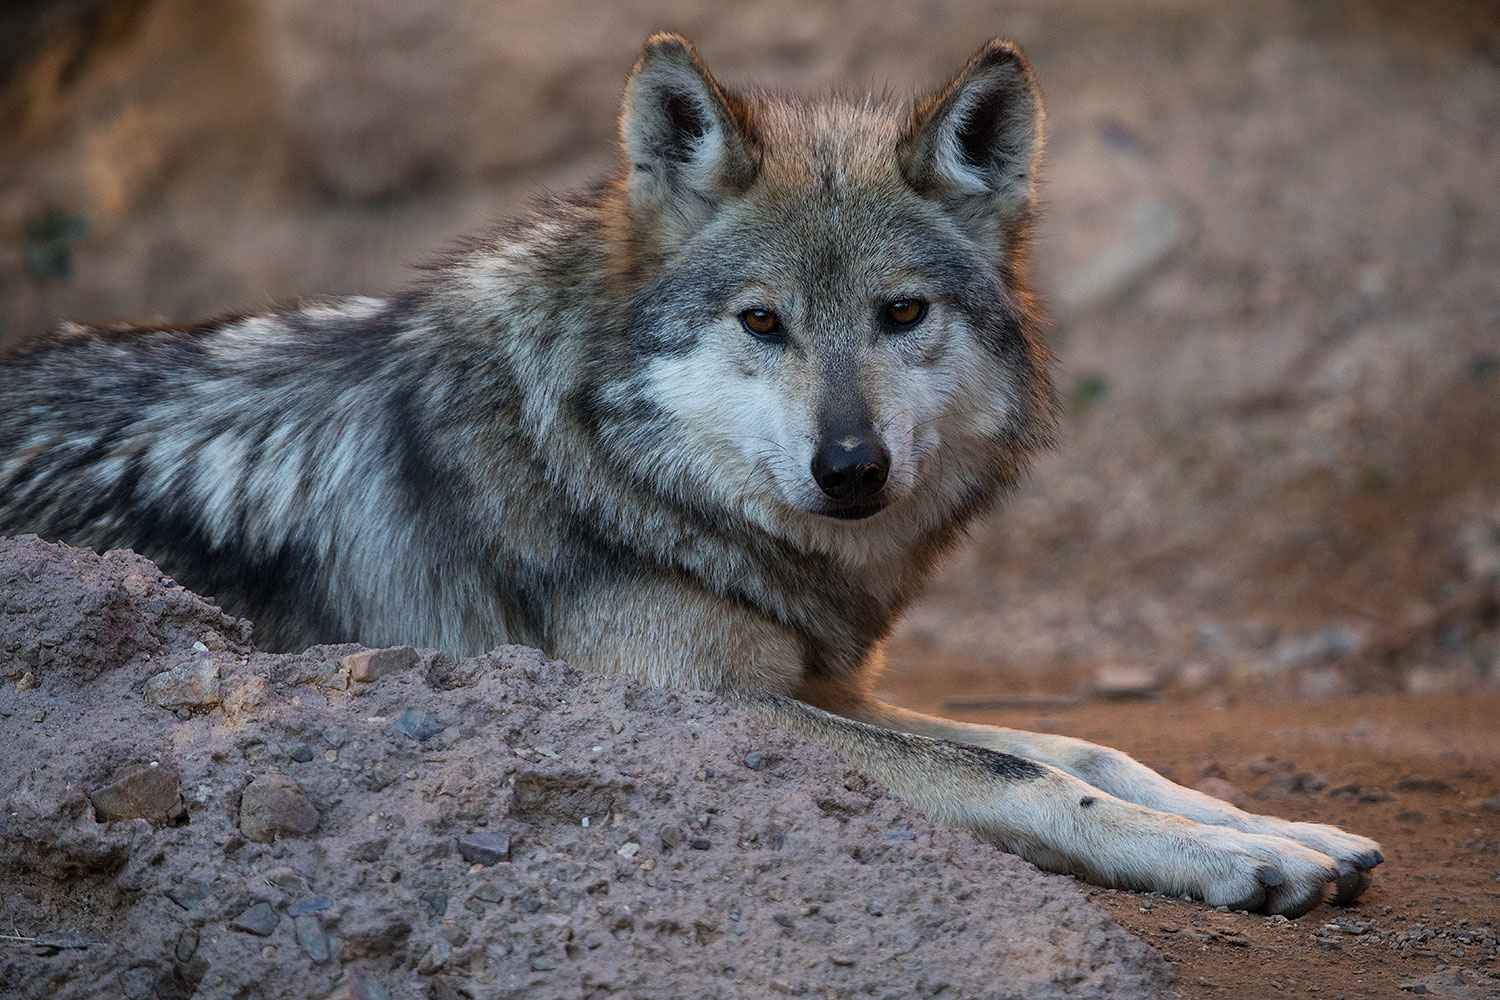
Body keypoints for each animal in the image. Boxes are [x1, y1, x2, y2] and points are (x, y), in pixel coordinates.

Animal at [0, 35, 1380, 916]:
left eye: (901, 313)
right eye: (762, 323)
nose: (851, 466)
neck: (595, 457)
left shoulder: (816, 680)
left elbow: (1085, 744)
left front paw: (1276, 829)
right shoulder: (705, 708)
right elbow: (1019, 770)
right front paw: (1223, 857)